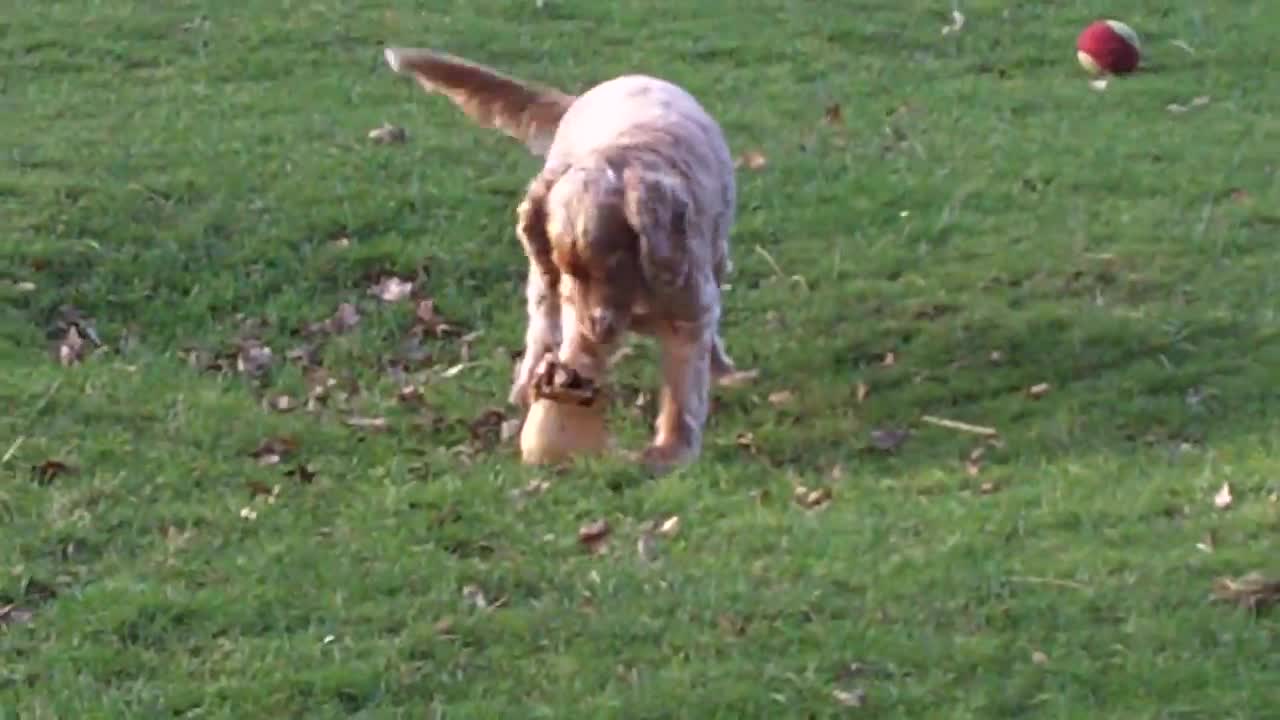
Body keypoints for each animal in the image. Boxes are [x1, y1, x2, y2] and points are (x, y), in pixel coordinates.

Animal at [381, 46, 742, 471]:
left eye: (617, 262)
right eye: (572, 273)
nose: (598, 330)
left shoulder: (688, 306)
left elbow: (683, 387)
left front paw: (671, 450)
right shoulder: (574, 302)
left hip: (716, 256)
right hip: (541, 280)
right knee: (540, 327)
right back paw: (525, 387)